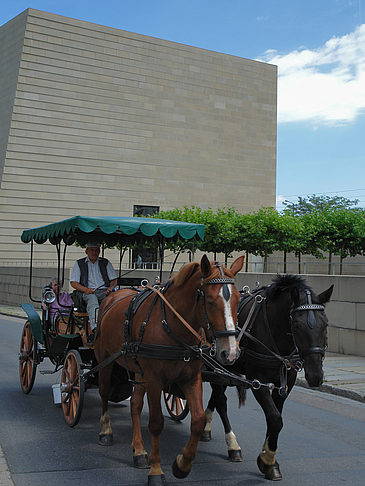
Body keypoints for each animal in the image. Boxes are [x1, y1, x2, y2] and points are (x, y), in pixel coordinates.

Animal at [94, 256, 243, 484]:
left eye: (238, 300)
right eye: (210, 301)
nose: (231, 352)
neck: (173, 327)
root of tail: (113, 295)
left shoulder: (191, 378)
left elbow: (198, 420)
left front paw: (182, 464)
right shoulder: (154, 380)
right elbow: (156, 423)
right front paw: (156, 470)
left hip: (139, 371)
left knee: (135, 404)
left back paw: (139, 450)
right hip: (105, 360)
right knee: (103, 392)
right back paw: (106, 431)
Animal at [202, 276, 332, 480]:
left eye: (325, 324)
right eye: (297, 325)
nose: (315, 376)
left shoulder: (286, 382)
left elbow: (275, 418)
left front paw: (268, 458)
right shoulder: (258, 382)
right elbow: (275, 418)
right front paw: (268, 461)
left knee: (217, 397)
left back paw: (207, 427)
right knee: (220, 401)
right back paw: (232, 444)